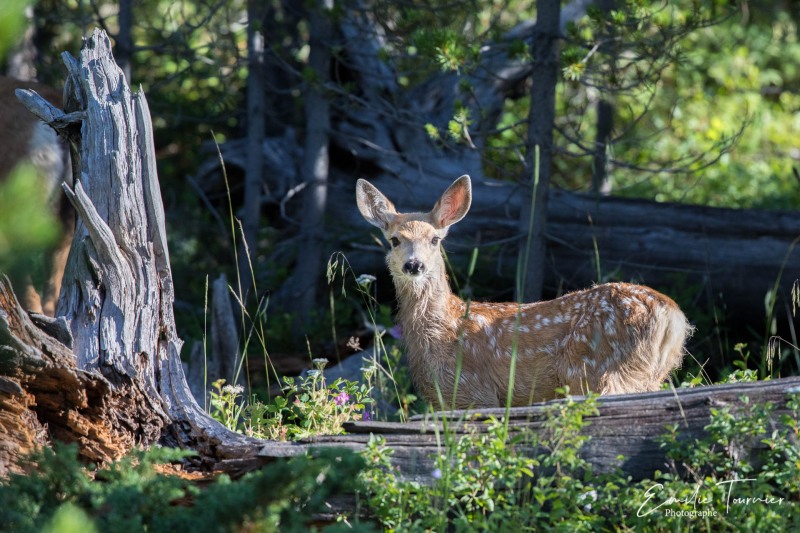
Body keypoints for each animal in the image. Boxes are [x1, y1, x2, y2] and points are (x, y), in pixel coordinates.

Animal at [356, 175, 692, 408]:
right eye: (395, 240)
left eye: (435, 239)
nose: (414, 265)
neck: (444, 327)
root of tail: (672, 316)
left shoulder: (473, 393)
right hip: (648, 374)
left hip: (598, 371)